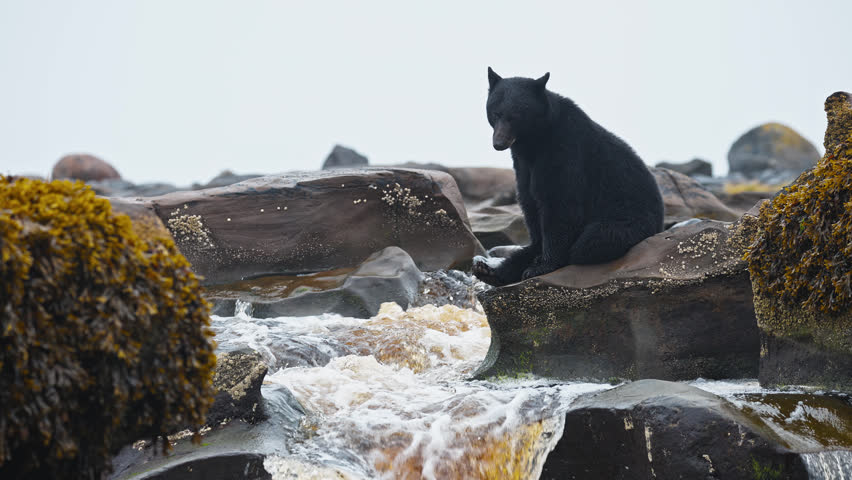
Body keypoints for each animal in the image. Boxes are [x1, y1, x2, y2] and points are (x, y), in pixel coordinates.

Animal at [472, 68, 664, 287]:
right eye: (495, 113)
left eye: (516, 115)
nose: (499, 143)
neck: (533, 142)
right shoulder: (522, 164)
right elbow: (530, 202)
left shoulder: (565, 148)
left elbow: (560, 203)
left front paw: (542, 265)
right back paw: (489, 270)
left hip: (629, 219)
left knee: (592, 240)